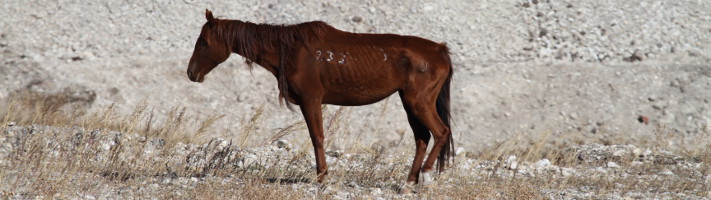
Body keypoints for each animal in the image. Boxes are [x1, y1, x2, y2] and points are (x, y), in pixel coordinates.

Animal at [188, 9, 456, 184]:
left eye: (203, 42)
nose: (191, 73)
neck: (289, 50)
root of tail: (440, 51)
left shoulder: (311, 99)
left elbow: (317, 137)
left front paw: (322, 177)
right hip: (409, 103)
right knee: (422, 138)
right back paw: (409, 181)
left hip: (418, 102)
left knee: (440, 132)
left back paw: (426, 175)